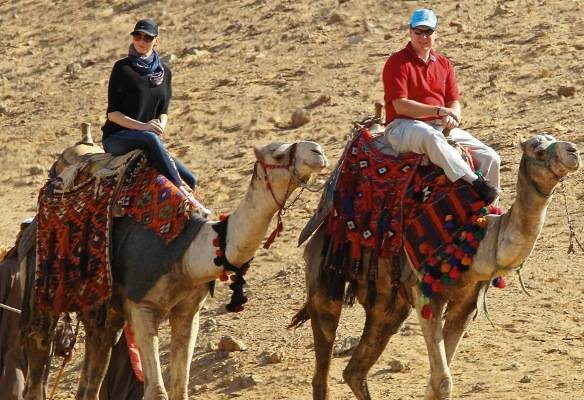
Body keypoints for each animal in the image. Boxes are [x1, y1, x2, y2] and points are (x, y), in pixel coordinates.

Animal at [19, 132, 328, 400]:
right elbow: (157, 391)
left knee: (94, 364)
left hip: (104, 312)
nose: (318, 152)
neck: (190, 252)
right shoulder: (142, 306)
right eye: (278, 154)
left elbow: (180, 388)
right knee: (39, 349)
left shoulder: (189, 312)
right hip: (43, 287)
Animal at [290, 133, 580, 398]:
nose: (574, 151)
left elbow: (437, 379)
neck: (474, 240)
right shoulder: (425, 294)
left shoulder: (466, 304)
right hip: (325, 272)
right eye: (538, 148)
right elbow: (442, 381)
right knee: (323, 362)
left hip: (388, 304)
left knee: (355, 370)